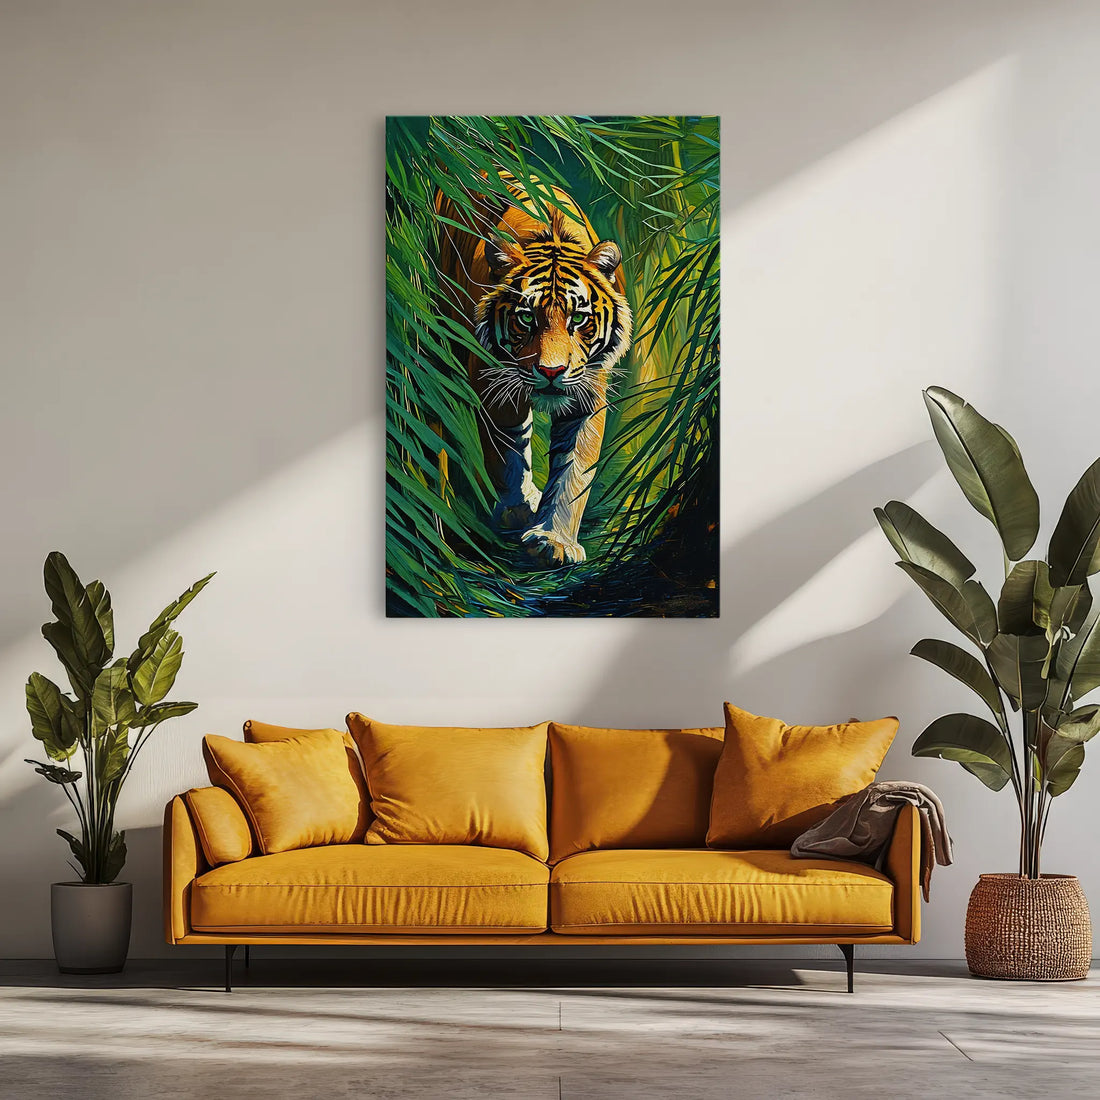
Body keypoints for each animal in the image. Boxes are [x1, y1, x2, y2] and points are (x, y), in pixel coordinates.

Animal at [435, 172, 632, 568]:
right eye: (526, 318)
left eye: (578, 319)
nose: (551, 371)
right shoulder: (494, 382)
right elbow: (507, 453)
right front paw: (518, 511)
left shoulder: (587, 394)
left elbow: (573, 471)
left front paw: (554, 540)